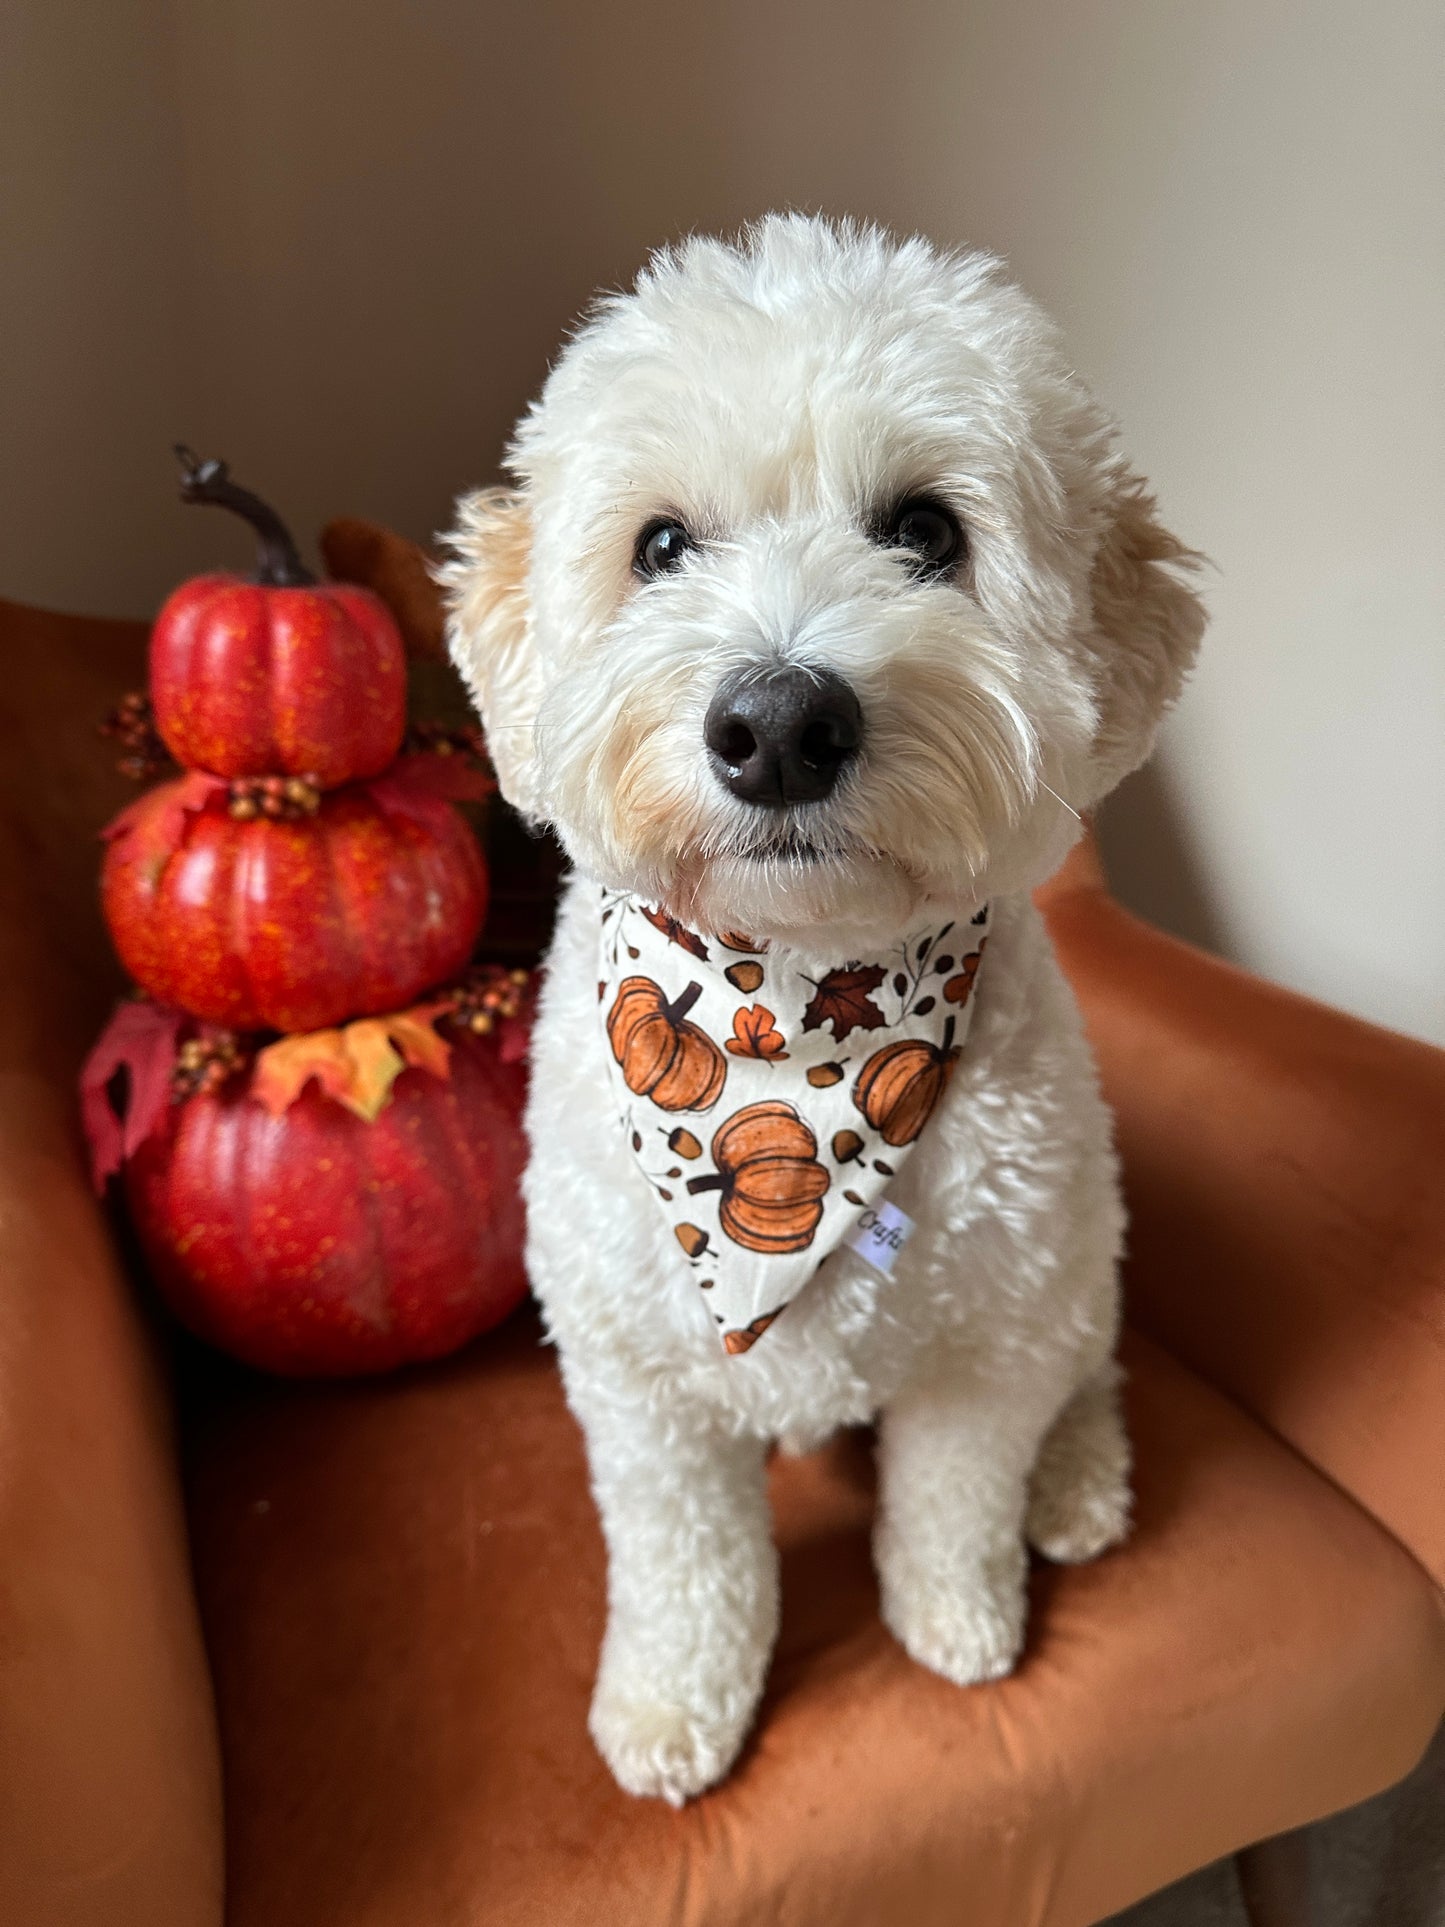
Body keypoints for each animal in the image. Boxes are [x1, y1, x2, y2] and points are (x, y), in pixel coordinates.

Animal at [445, 214, 1209, 1803]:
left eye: (924, 532)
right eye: (659, 544)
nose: (780, 724)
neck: (793, 1016)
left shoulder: (984, 1345)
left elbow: (955, 1496)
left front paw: (958, 1622)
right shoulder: (639, 1383)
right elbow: (686, 1562)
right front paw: (673, 1703)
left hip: (1076, 1257)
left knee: (1086, 1364)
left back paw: (1077, 1480)